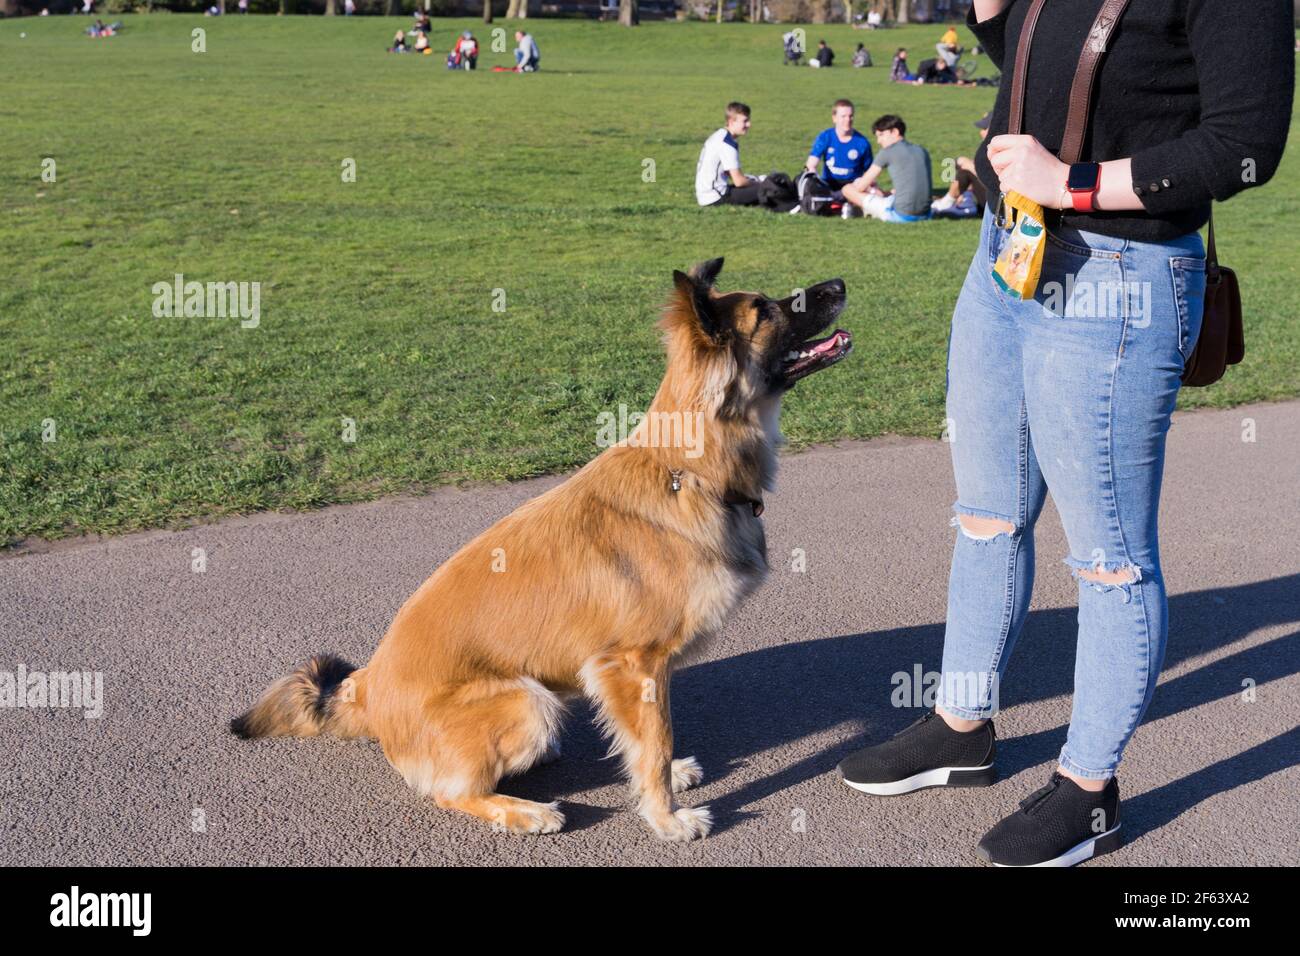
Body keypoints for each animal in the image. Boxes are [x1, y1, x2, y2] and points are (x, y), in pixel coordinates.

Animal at [231, 257, 852, 842]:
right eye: (765, 309)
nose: (841, 283)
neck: (691, 470)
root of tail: (367, 691)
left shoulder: (636, 676)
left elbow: (647, 740)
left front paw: (670, 778)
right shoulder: (633, 662)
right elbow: (653, 743)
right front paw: (667, 818)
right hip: (528, 701)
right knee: (449, 792)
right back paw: (523, 811)